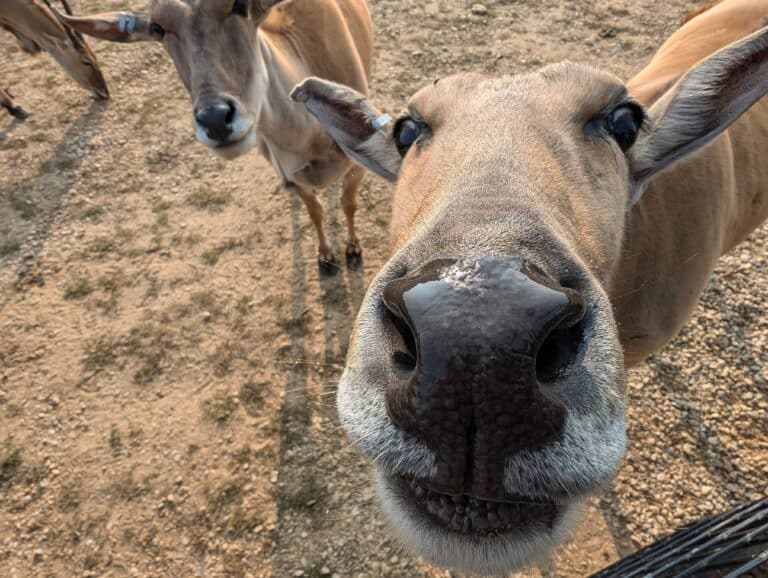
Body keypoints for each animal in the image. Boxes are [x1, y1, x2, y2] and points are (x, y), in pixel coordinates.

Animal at [59, 0, 372, 274]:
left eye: (240, 4)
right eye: (159, 27)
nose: (215, 119)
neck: (308, 141)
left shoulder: (357, 166)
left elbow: (348, 203)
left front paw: (353, 250)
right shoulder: (291, 177)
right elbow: (314, 211)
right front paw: (326, 256)